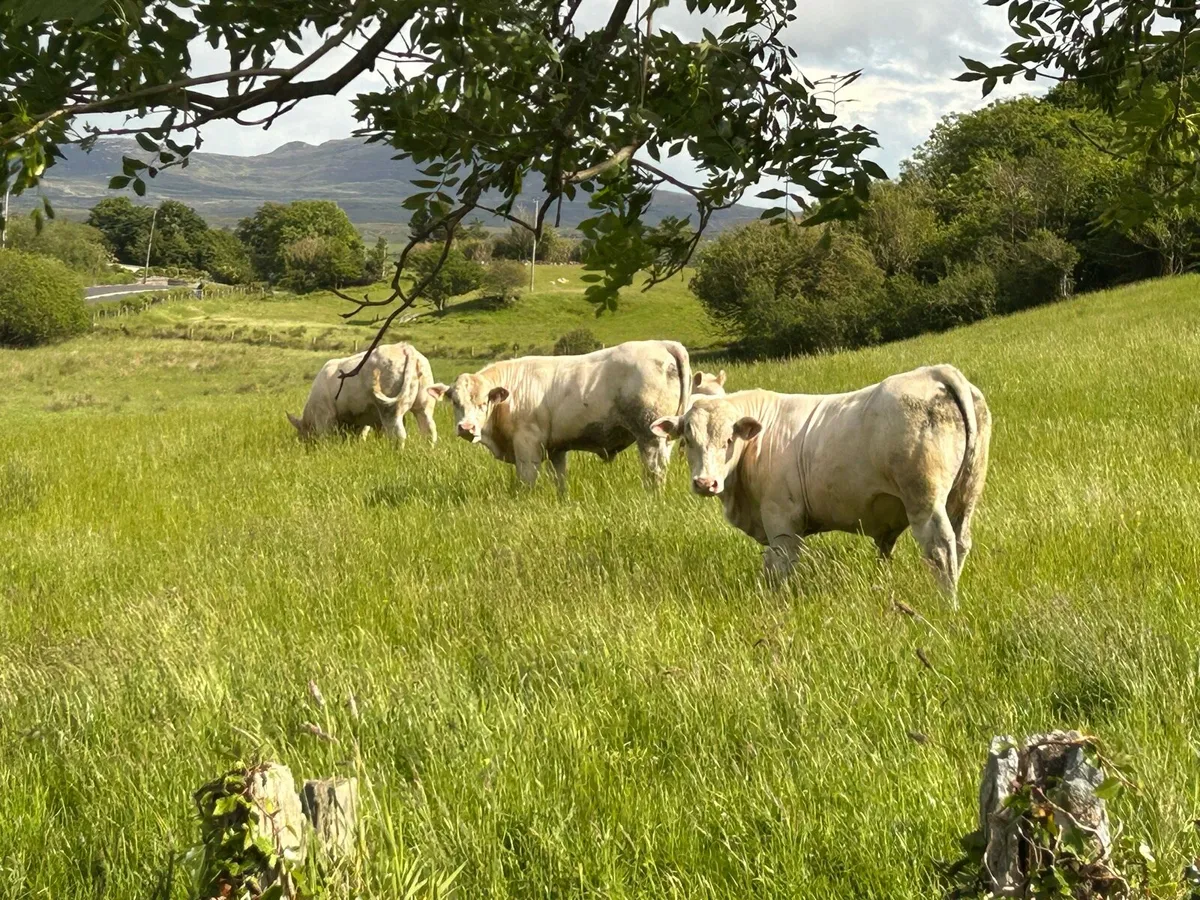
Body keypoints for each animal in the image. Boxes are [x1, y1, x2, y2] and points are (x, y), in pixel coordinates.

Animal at [287, 343, 441, 443]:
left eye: (302, 432)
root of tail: (405, 348)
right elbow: (363, 435)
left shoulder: (324, 416)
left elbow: (326, 436)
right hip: (425, 402)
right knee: (429, 430)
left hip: (390, 408)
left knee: (398, 434)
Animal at [440, 340, 692, 493]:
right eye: (455, 402)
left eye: (483, 403)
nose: (466, 428)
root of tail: (662, 343)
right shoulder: (556, 449)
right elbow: (559, 480)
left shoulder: (527, 445)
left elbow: (526, 479)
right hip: (665, 437)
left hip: (649, 436)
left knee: (654, 471)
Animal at [650, 365, 991, 601]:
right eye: (687, 440)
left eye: (729, 440)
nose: (705, 483)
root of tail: (934, 371)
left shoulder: (781, 519)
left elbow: (781, 565)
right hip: (965, 495)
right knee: (961, 542)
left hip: (924, 500)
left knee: (940, 547)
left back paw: (945, 603)